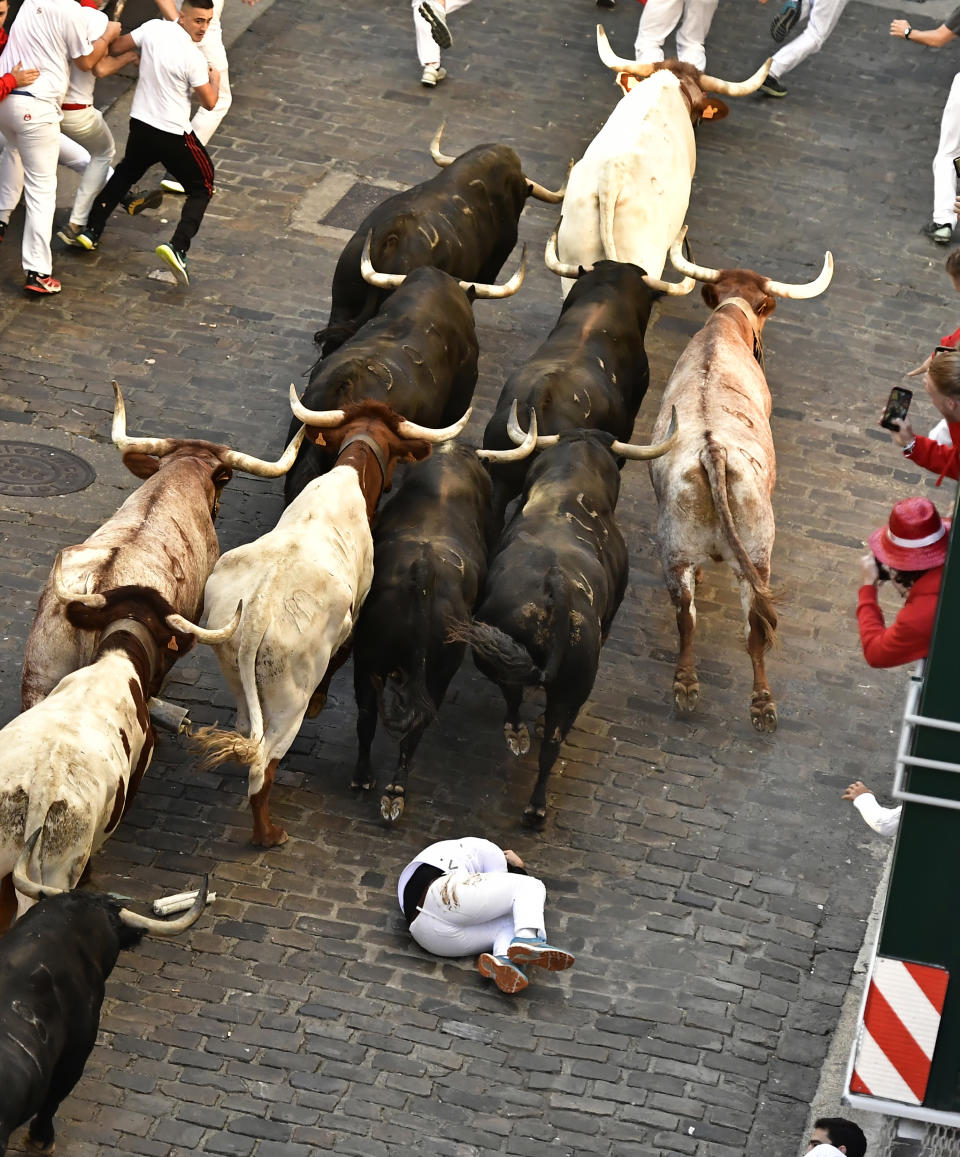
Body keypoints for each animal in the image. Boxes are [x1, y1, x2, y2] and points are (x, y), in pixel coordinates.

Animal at [652, 233, 837, 731]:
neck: (724, 328)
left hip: (677, 552)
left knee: (686, 617)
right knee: (755, 628)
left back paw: (685, 687)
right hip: (756, 556)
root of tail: (712, 452)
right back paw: (762, 705)